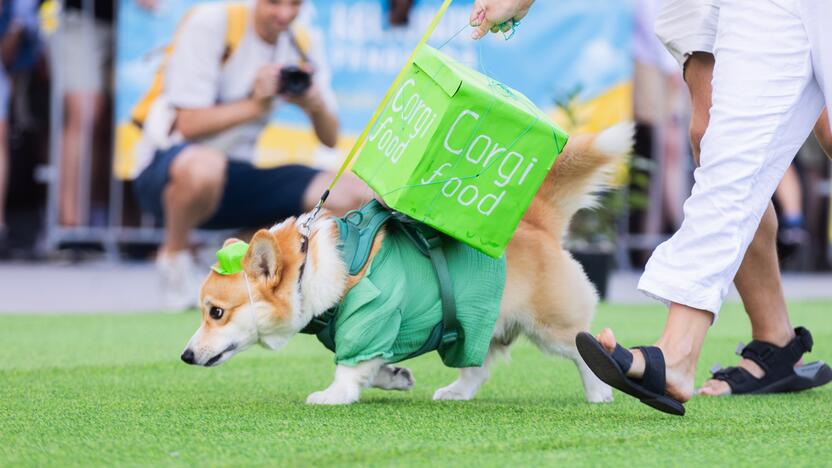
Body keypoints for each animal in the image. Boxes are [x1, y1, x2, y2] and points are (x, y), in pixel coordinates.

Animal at [182, 122, 632, 404]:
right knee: (478, 367)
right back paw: (455, 392)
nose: (185, 357)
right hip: (473, 323)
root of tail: (537, 222)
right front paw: (394, 377)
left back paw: (598, 393)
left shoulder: (370, 317)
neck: (309, 267)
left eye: (216, 312)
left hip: (550, 328)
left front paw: (333, 395)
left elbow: (348, 366)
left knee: (585, 349)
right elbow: (372, 363)